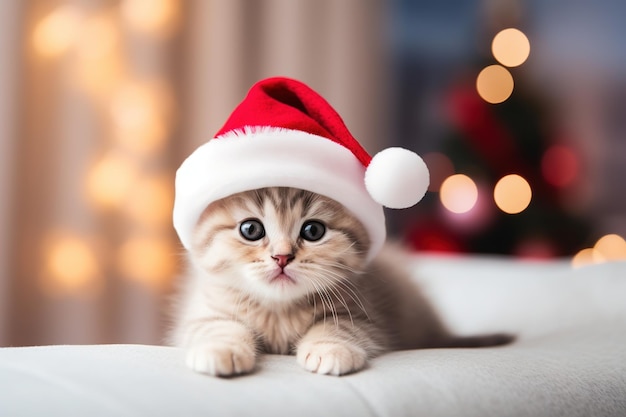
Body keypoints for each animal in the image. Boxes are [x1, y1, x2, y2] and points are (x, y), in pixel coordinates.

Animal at [168, 187, 510, 376]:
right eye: (251, 230)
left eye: (313, 231)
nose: (282, 257)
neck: (279, 311)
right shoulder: (205, 311)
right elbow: (217, 327)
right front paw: (220, 350)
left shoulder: (363, 315)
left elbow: (337, 328)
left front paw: (329, 350)